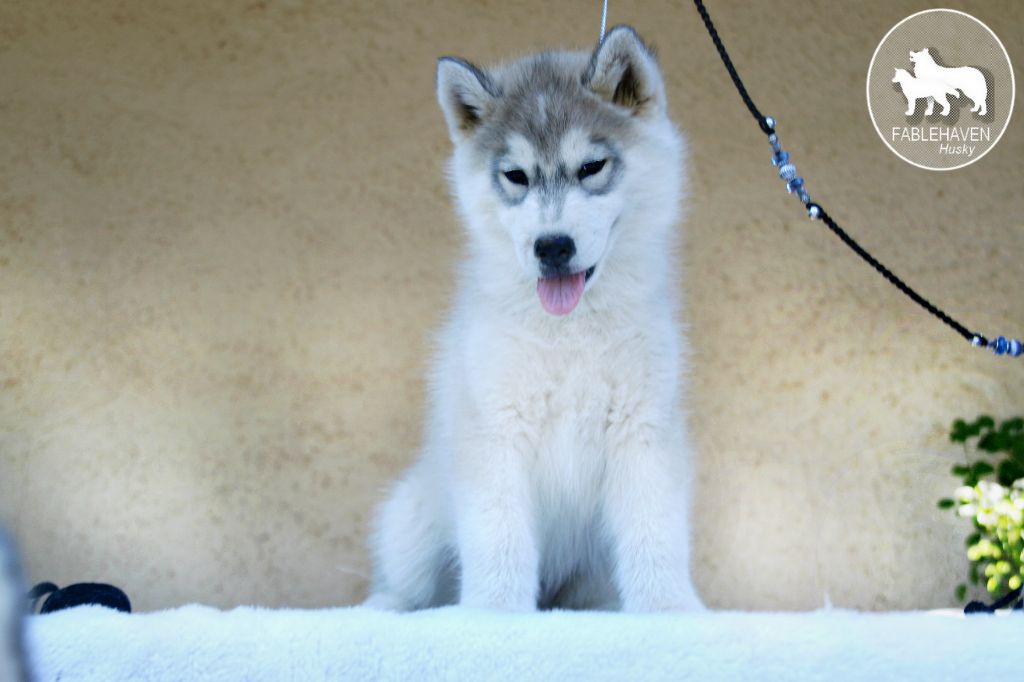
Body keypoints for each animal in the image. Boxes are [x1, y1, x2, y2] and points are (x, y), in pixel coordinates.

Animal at [365, 26, 703, 612]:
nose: (552, 247)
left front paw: (667, 611)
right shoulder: (493, 431)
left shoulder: (643, 429)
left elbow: (654, 535)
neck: (570, 334)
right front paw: (495, 613)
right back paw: (386, 607)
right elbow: (499, 541)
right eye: (516, 176)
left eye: (591, 167)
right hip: (412, 520)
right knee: (411, 585)